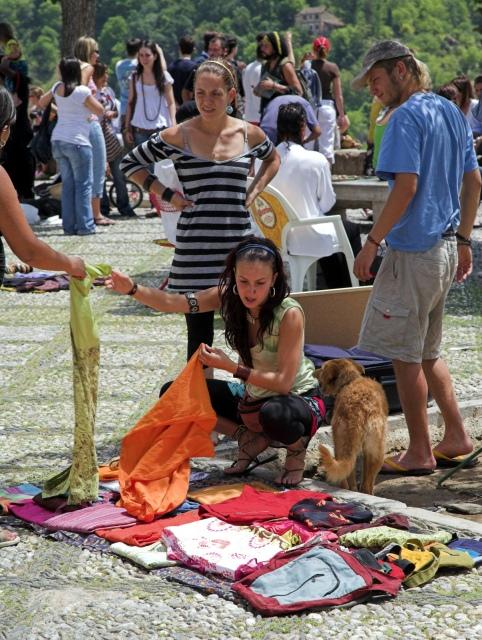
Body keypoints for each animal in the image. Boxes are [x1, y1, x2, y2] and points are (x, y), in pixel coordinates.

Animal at [316, 360, 388, 496]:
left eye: (322, 369)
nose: (314, 372)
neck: (351, 380)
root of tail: (357, 410)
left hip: (343, 446)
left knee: (349, 479)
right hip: (377, 452)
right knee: (366, 484)